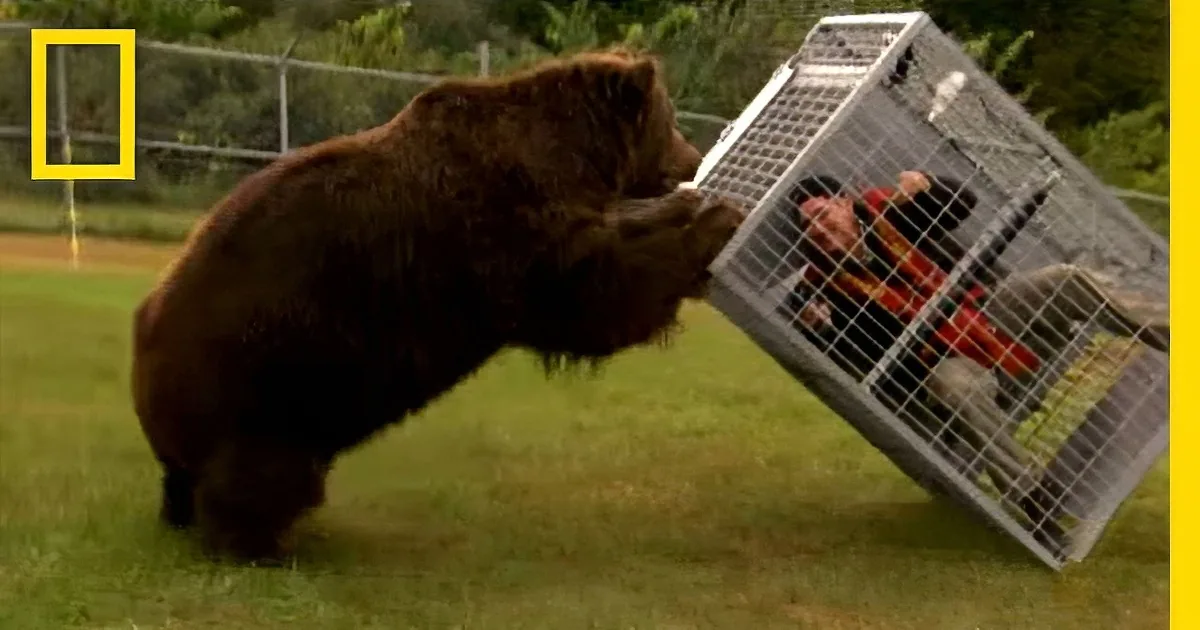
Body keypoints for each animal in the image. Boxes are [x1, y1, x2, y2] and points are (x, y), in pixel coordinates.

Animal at [130, 47, 747, 562]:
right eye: (670, 122)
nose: (692, 159)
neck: (573, 154)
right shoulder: (503, 233)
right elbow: (595, 296)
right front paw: (718, 221)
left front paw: (689, 211)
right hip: (265, 381)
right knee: (260, 476)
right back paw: (260, 545)